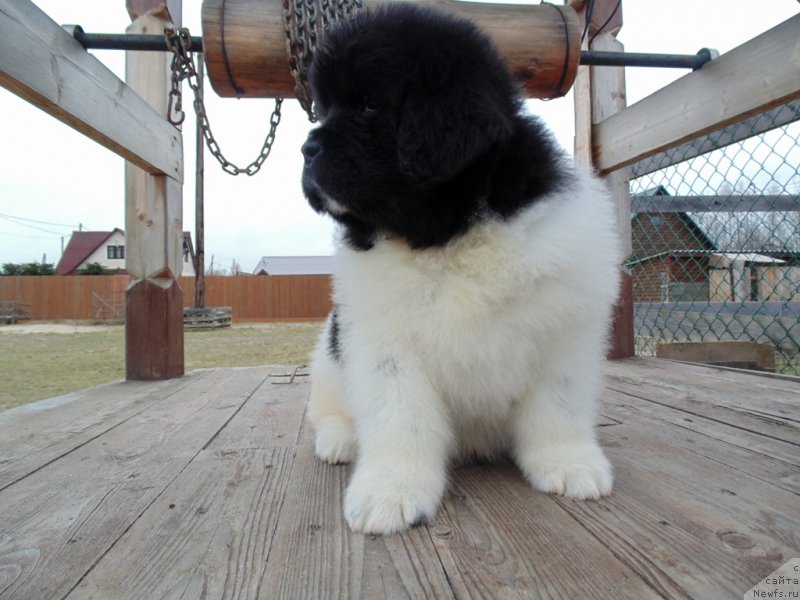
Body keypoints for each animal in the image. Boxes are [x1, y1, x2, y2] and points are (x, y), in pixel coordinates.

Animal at [304, 3, 620, 536]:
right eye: (323, 110)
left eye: (368, 105)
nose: (306, 151)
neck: (446, 234)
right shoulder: (385, 345)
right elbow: (400, 419)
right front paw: (392, 490)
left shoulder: (564, 328)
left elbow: (559, 405)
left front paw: (568, 462)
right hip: (330, 357)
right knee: (329, 408)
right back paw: (340, 439)